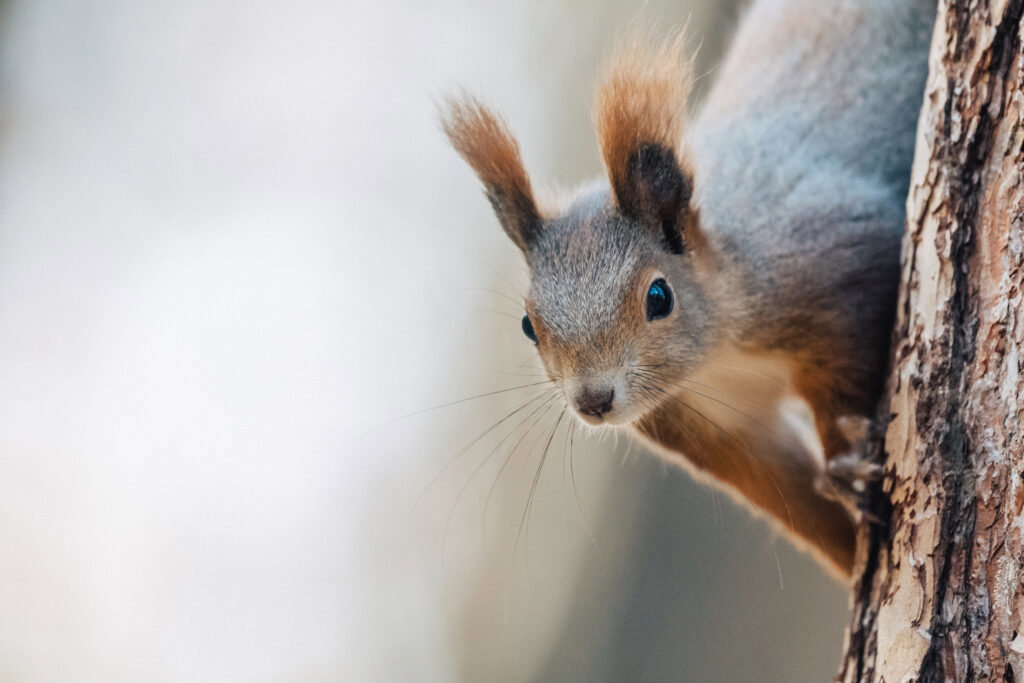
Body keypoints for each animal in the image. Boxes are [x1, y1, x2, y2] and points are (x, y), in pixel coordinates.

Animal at [440, 0, 935, 578]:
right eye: (527, 325)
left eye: (659, 297)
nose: (593, 401)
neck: (718, 358)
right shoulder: (712, 428)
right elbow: (794, 502)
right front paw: (849, 548)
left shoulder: (840, 269)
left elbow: (848, 382)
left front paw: (848, 464)